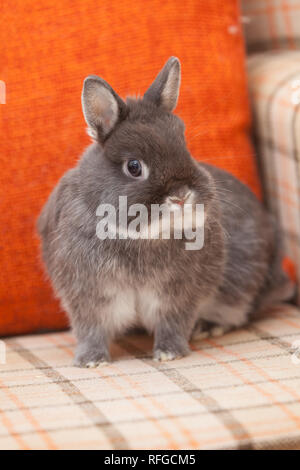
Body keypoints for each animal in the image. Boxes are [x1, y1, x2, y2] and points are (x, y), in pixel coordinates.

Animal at [37, 57, 292, 368]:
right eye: (134, 166)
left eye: (185, 147)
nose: (181, 196)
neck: (140, 238)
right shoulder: (87, 296)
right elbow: (90, 330)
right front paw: (91, 361)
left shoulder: (178, 296)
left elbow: (173, 323)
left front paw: (170, 353)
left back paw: (207, 327)